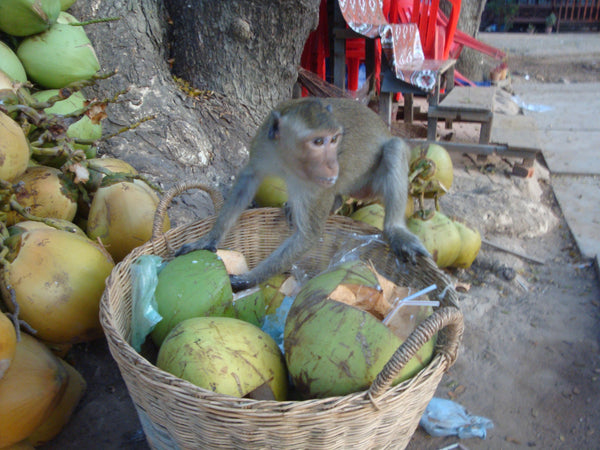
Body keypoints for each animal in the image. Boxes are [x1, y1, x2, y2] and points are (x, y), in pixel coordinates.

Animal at [176, 96, 428, 290]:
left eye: (334, 139)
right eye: (318, 141)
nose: (333, 165)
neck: (288, 162)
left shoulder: (317, 186)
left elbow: (308, 235)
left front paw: (247, 280)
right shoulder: (263, 144)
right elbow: (248, 179)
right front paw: (209, 238)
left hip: (367, 185)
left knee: (394, 148)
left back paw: (395, 230)